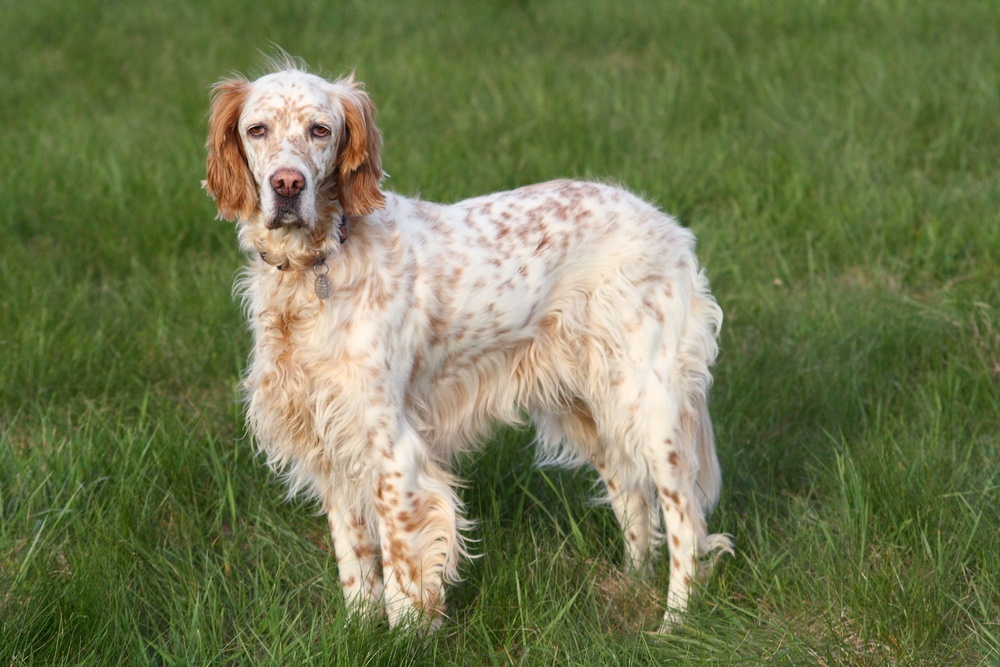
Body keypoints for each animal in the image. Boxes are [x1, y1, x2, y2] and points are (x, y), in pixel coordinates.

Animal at [205, 56, 736, 632]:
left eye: (320, 130)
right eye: (257, 129)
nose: (287, 183)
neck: (315, 268)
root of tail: (668, 226)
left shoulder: (392, 450)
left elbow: (402, 569)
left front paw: (405, 637)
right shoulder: (329, 442)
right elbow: (356, 561)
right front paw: (359, 630)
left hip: (653, 408)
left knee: (684, 519)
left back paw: (674, 621)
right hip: (591, 409)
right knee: (633, 499)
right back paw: (631, 584)